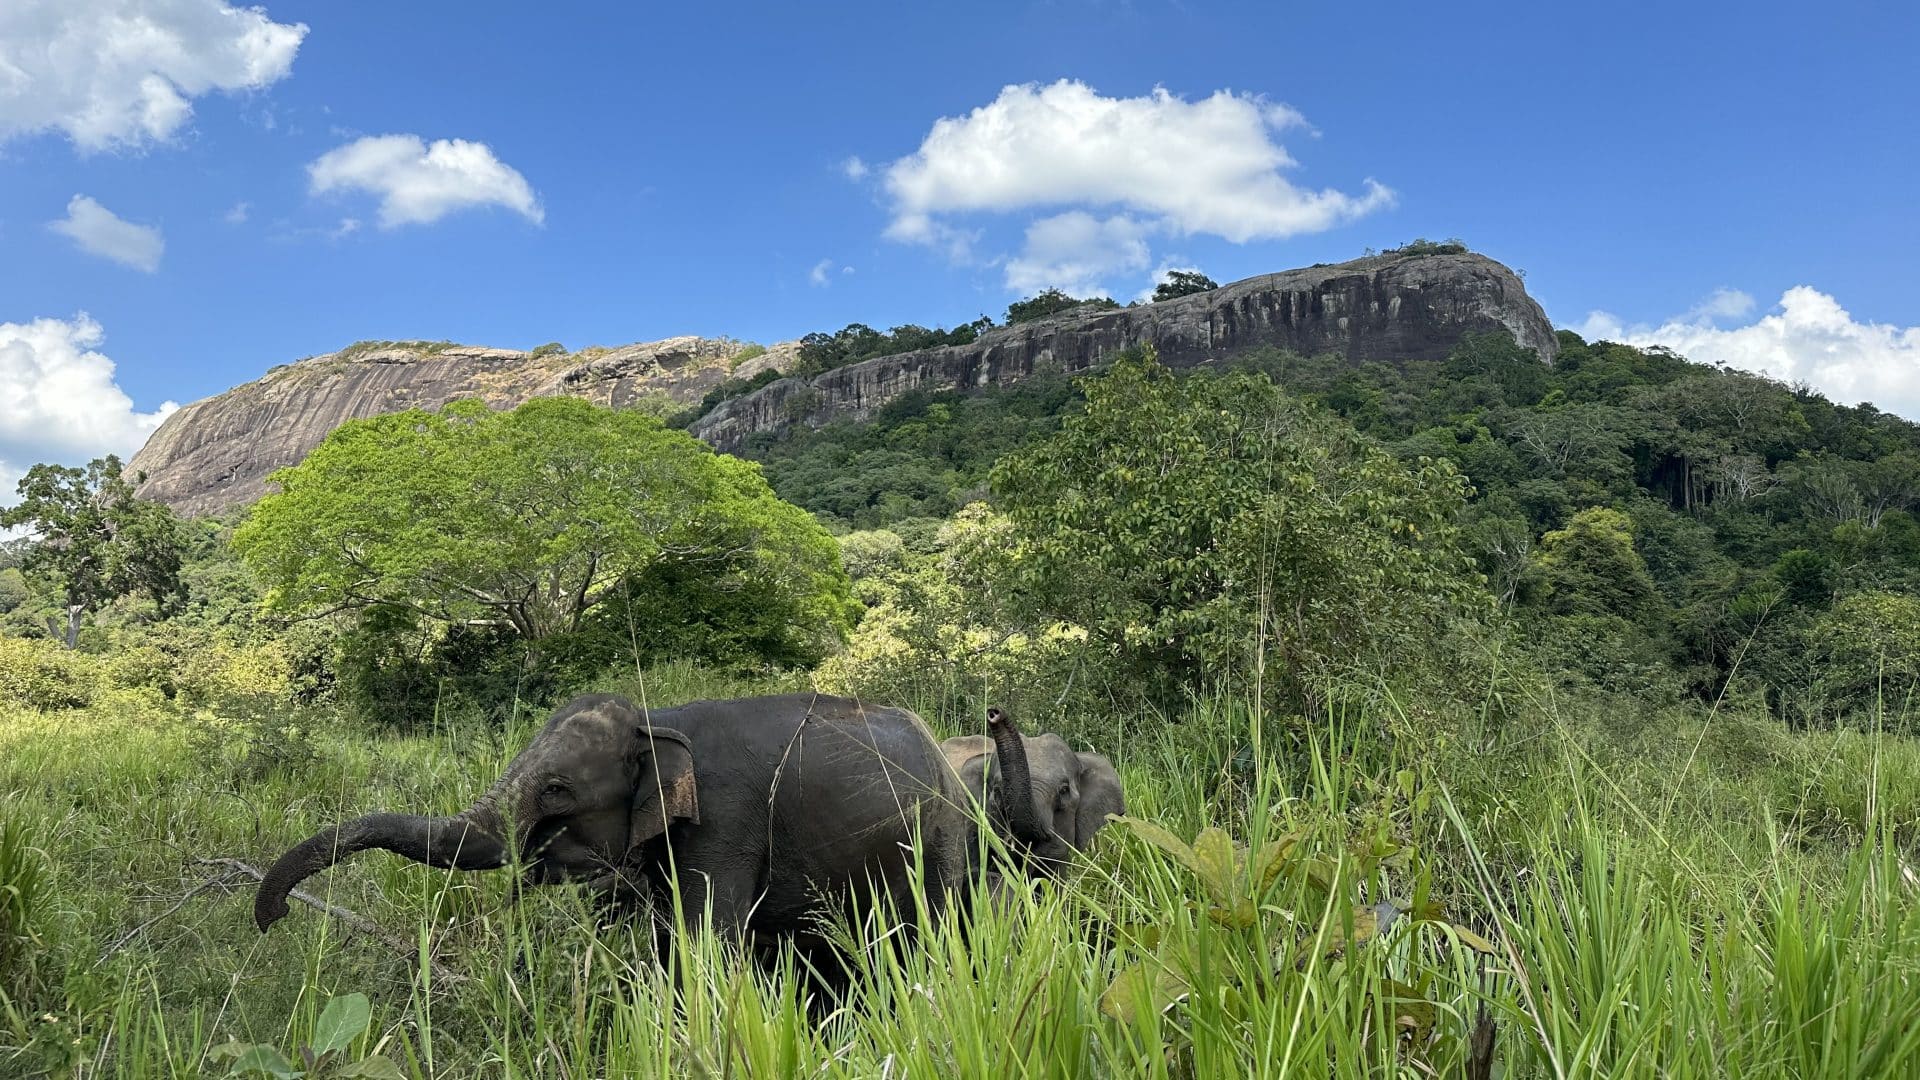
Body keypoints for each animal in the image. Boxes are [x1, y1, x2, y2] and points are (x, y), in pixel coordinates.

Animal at [253, 691, 975, 945]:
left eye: (556, 792)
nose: (273, 917)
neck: (657, 717)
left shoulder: (725, 820)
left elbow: (706, 939)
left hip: (943, 834)